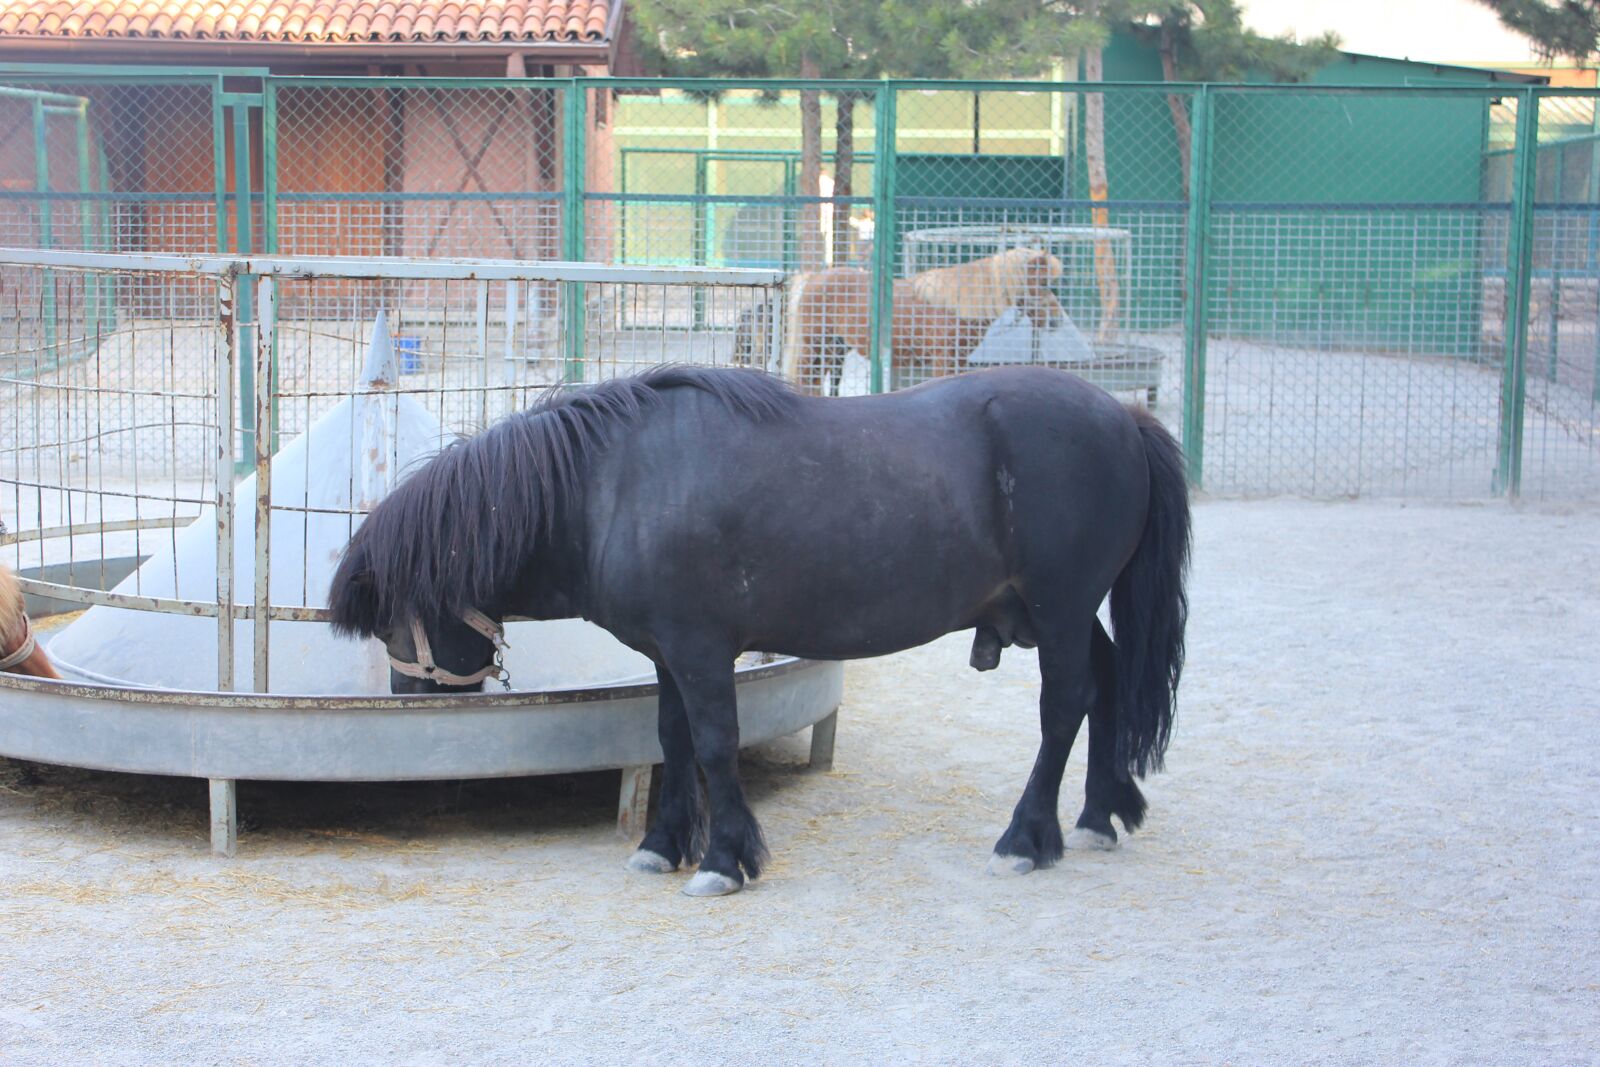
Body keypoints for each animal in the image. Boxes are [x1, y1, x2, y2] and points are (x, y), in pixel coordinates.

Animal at [328, 364, 1190, 898]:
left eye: (395, 624)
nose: (411, 701)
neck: (613, 484)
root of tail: (1124, 415)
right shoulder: (668, 656)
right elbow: (673, 742)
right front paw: (662, 843)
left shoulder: (703, 651)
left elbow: (714, 746)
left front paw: (724, 858)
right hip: (1067, 613)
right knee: (1107, 684)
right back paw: (1099, 814)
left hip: (1061, 607)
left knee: (1065, 705)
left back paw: (1027, 835)